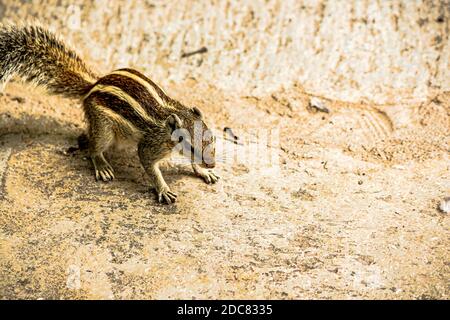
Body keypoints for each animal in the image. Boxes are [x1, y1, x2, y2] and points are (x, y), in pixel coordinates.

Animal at [0, 25, 218, 205]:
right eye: (190, 146)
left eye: (213, 139)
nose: (213, 164)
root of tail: (93, 86)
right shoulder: (150, 145)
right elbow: (149, 164)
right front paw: (163, 189)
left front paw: (204, 171)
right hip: (103, 127)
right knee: (94, 147)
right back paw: (102, 165)